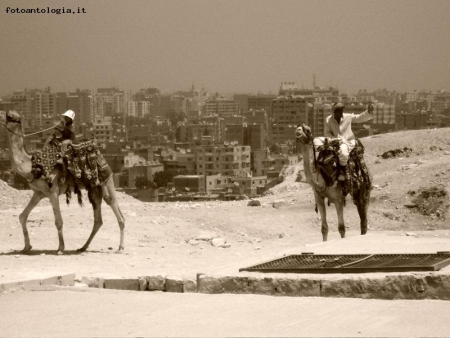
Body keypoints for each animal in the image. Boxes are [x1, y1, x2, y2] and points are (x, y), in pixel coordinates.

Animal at [2, 110, 125, 254]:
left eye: (10, 116)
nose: (4, 113)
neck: (31, 166)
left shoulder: (53, 191)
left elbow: (58, 221)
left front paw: (61, 248)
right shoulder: (38, 193)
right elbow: (22, 216)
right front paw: (27, 247)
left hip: (107, 179)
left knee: (112, 203)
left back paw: (120, 248)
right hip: (95, 188)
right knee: (98, 219)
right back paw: (83, 247)